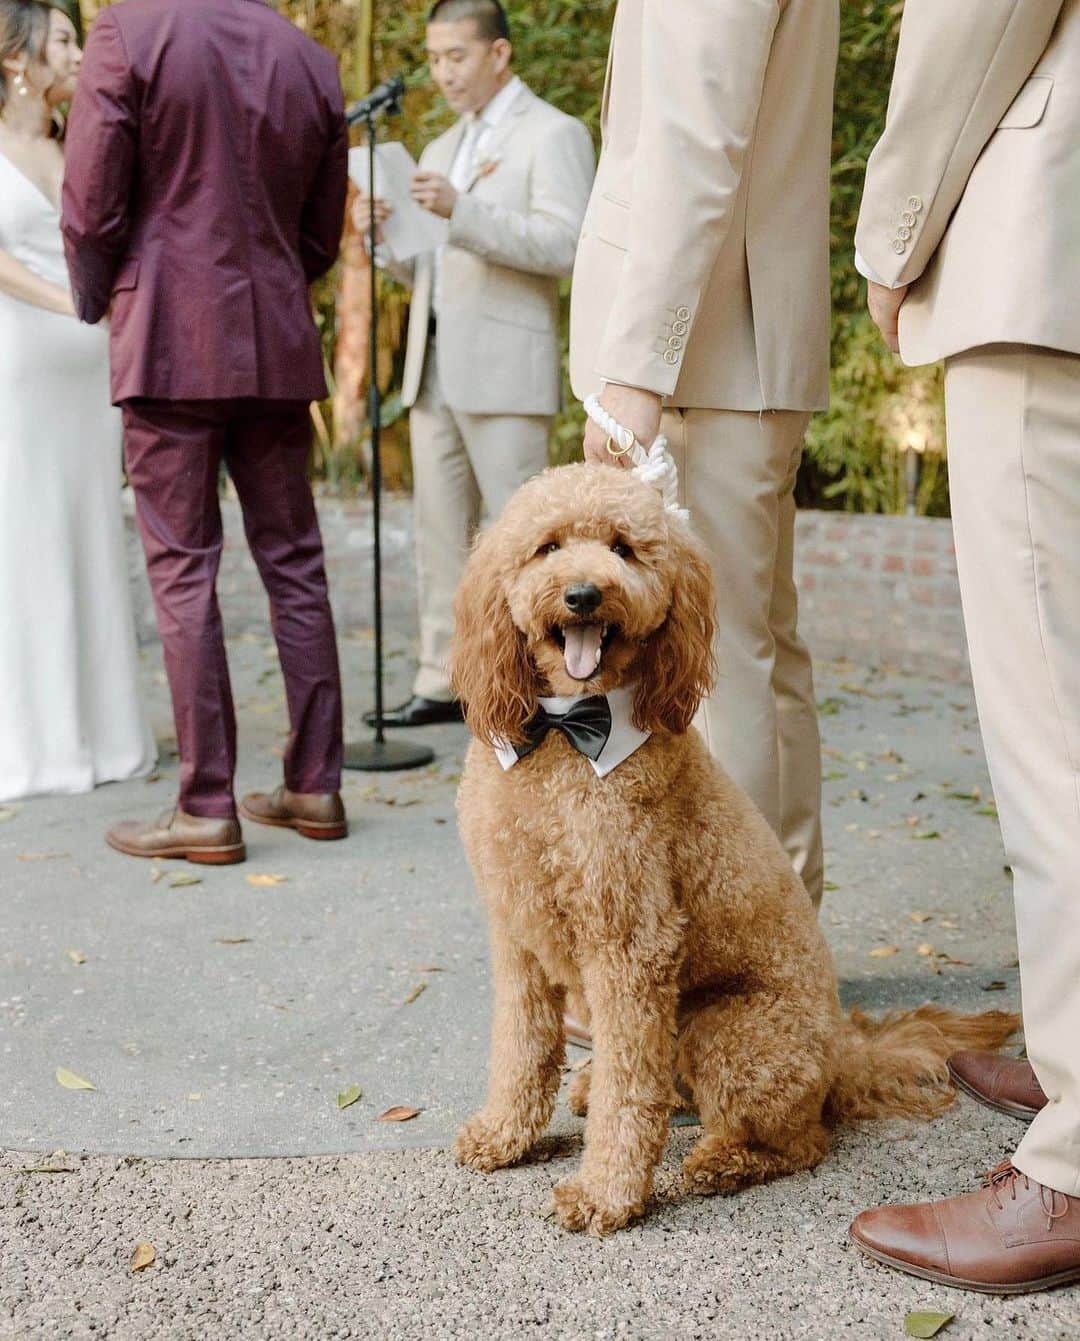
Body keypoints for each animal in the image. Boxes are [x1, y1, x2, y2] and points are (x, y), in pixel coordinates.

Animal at [448, 463, 1019, 1233]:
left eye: (624, 549)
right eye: (548, 547)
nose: (585, 593)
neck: (566, 735)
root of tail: (842, 1050)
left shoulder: (632, 944)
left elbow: (628, 1094)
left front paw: (605, 1192)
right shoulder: (518, 936)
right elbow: (521, 1047)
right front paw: (503, 1134)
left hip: (727, 1031)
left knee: (799, 1138)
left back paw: (723, 1159)